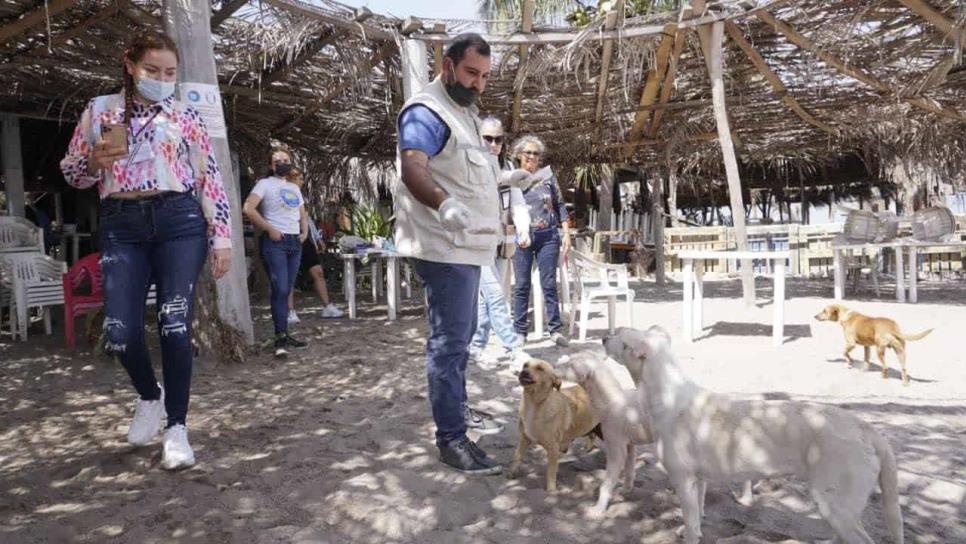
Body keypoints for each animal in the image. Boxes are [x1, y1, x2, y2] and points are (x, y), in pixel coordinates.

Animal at [510, 356, 600, 492]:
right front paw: (512, 473)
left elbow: (551, 472)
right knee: (592, 435)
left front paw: (551, 491)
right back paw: (588, 449)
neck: (533, 405)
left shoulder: (553, 449)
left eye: (540, 368)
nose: (524, 372)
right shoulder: (524, 438)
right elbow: (517, 456)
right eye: (525, 365)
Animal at [556, 350, 656, 516]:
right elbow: (629, 470)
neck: (611, 400)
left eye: (570, 364)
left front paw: (598, 509)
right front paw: (626, 490)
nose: (553, 366)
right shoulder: (630, 446)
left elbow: (606, 483)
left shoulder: (616, 448)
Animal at [604, 328, 908, 544]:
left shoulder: (682, 479)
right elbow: (697, 517)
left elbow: (690, 523)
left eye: (621, 336)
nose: (604, 336)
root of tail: (868, 429)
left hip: (835, 505)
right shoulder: (697, 481)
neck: (666, 394)